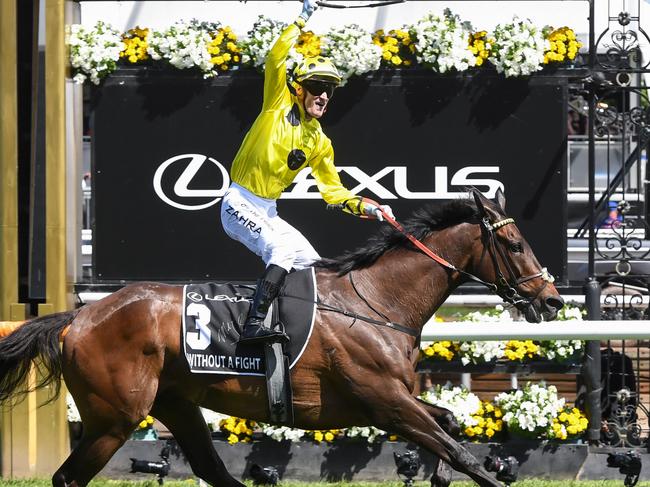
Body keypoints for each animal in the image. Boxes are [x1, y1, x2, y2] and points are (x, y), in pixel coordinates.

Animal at [0, 190, 560, 487]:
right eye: (515, 244)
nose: (552, 300)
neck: (377, 301)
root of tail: (80, 317)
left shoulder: (397, 399)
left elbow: (450, 428)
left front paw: (445, 473)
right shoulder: (384, 402)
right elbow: (461, 451)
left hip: (175, 404)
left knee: (214, 471)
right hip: (113, 418)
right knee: (68, 477)